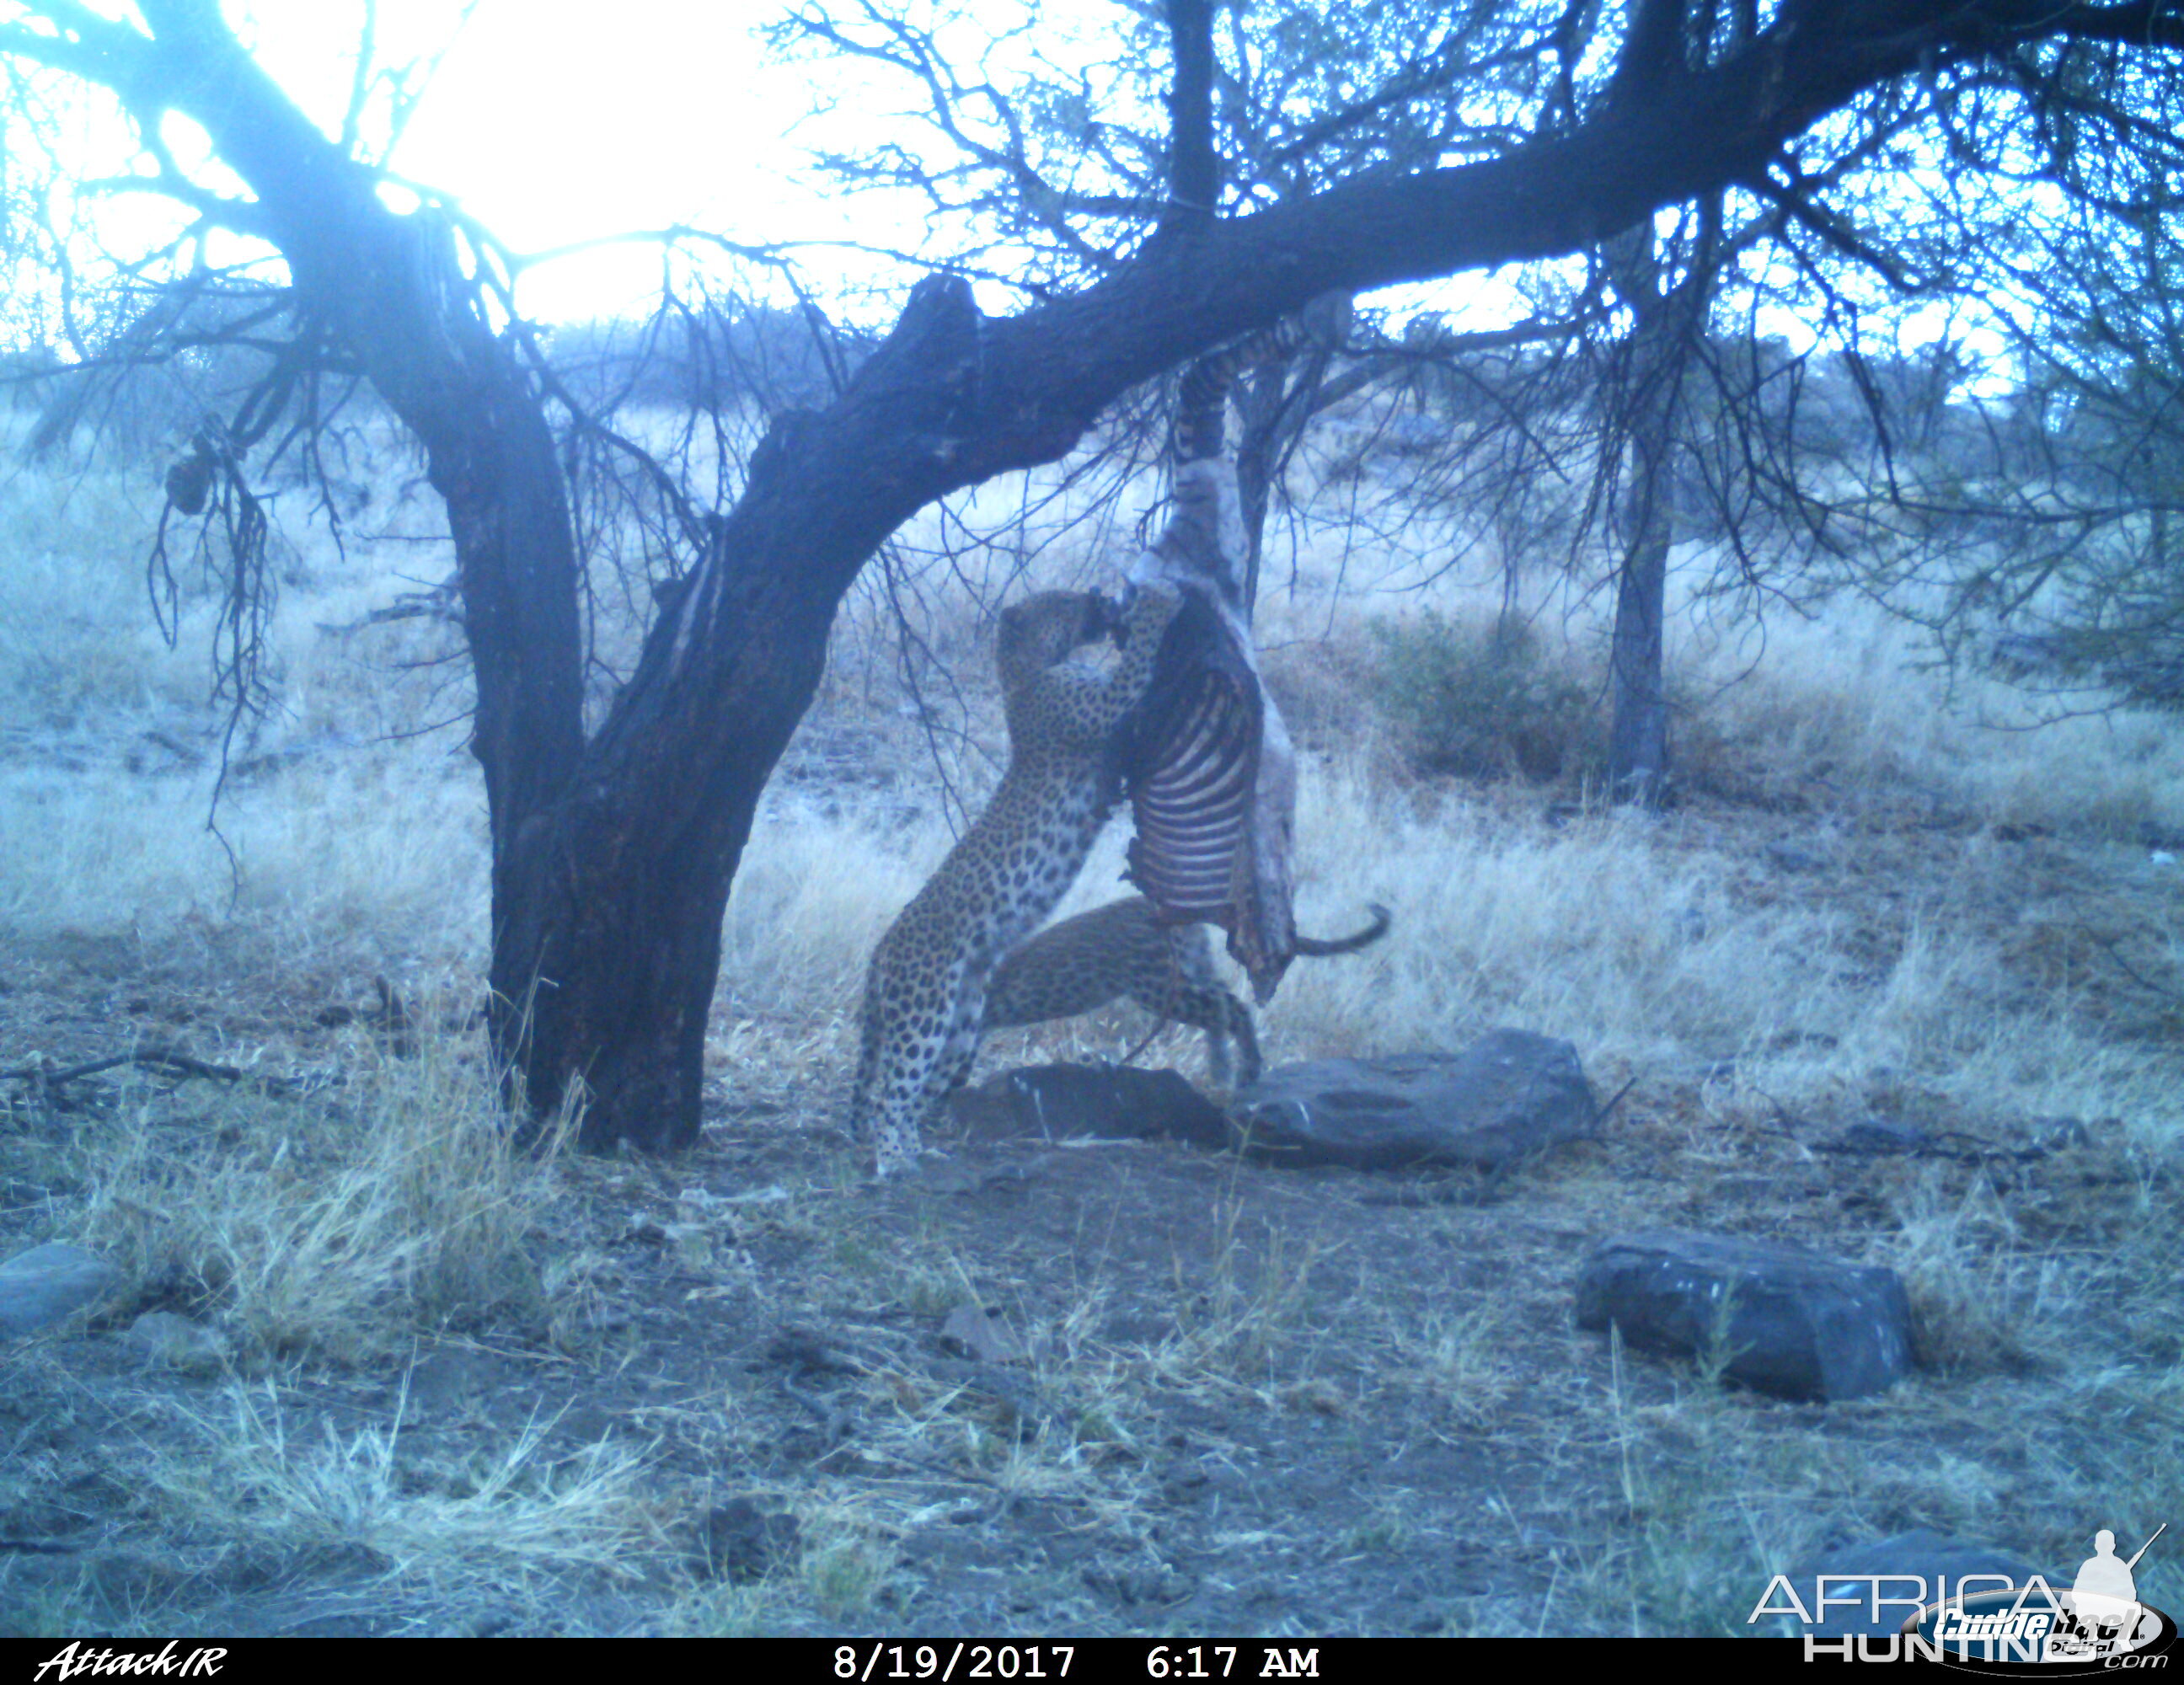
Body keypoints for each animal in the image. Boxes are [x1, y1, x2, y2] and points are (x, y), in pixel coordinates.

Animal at [982, 903, 1389, 1087]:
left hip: (1157, 984)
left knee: (1228, 1008)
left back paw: (1233, 1070)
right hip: (1192, 970)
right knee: (1228, 1005)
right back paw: (1235, 1068)